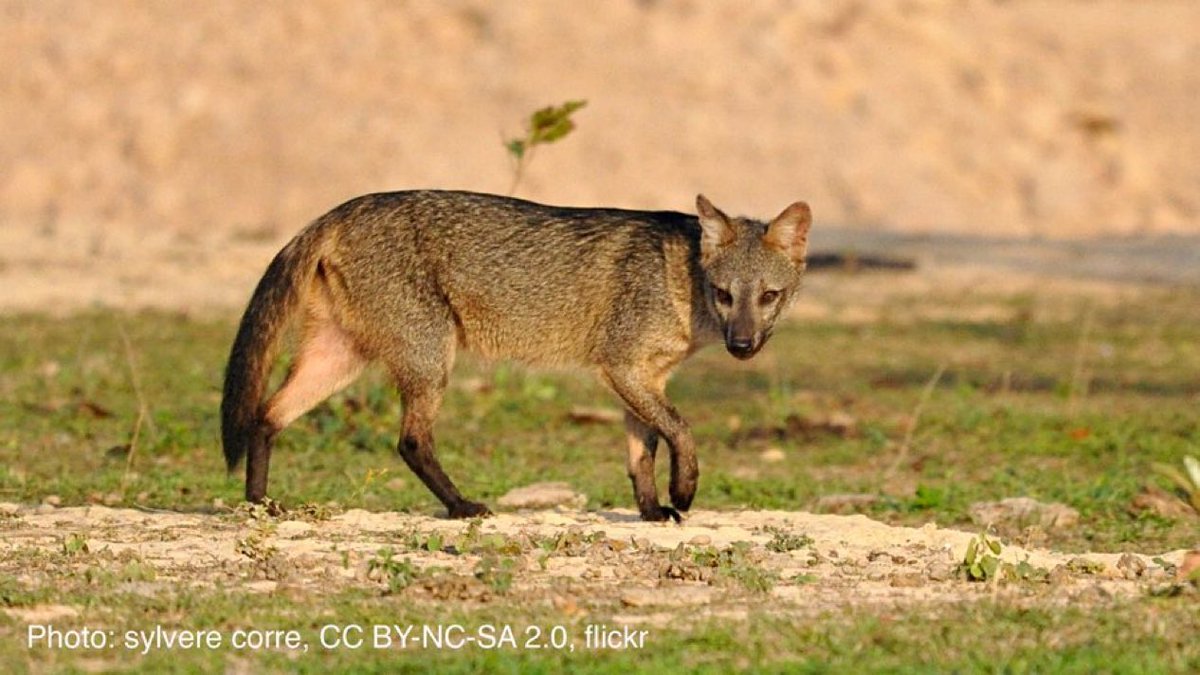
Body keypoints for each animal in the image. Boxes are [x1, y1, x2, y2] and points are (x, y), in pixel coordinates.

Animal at [221, 190, 811, 522]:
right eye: (725, 294)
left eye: (769, 297)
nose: (742, 346)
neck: (682, 280)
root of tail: (341, 209)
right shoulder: (623, 367)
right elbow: (681, 433)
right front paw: (684, 491)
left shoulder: (644, 377)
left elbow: (640, 452)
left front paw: (651, 511)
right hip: (431, 359)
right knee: (410, 441)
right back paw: (461, 507)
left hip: (340, 359)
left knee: (265, 416)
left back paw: (260, 506)